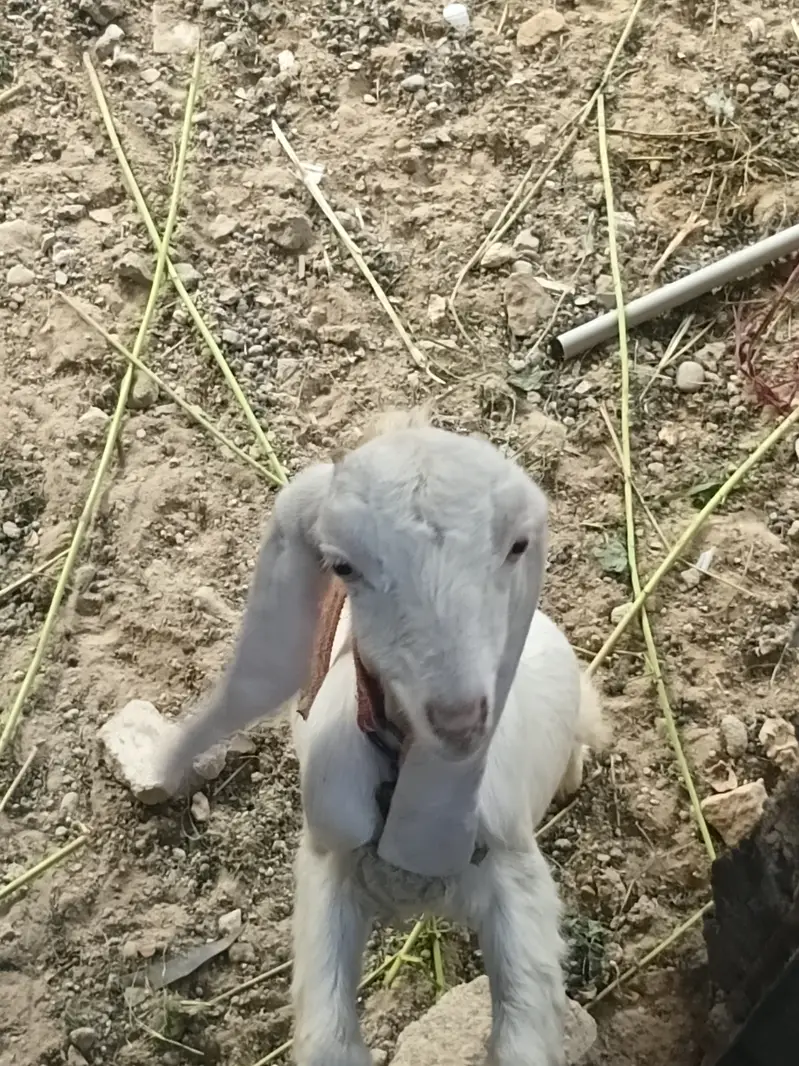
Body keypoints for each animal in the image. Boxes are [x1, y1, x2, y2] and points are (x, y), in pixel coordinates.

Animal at [160, 410, 607, 1066]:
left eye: (517, 545)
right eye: (344, 566)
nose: (459, 719)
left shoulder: (518, 880)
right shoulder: (326, 865)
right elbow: (326, 1038)